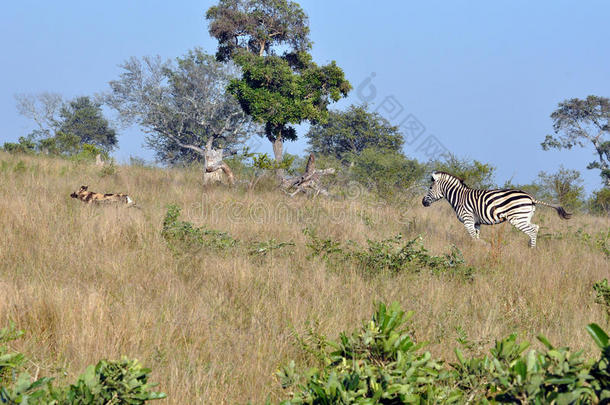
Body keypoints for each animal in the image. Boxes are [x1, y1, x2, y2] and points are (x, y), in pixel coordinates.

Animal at [418, 170, 568, 246]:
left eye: (430, 187)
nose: (423, 202)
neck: (459, 197)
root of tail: (530, 197)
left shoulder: (468, 220)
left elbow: (473, 238)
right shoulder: (476, 223)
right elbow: (476, 238)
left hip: (517, 218)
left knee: (532, 230)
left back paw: (531, 251)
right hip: (525, 217)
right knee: (535, 227)